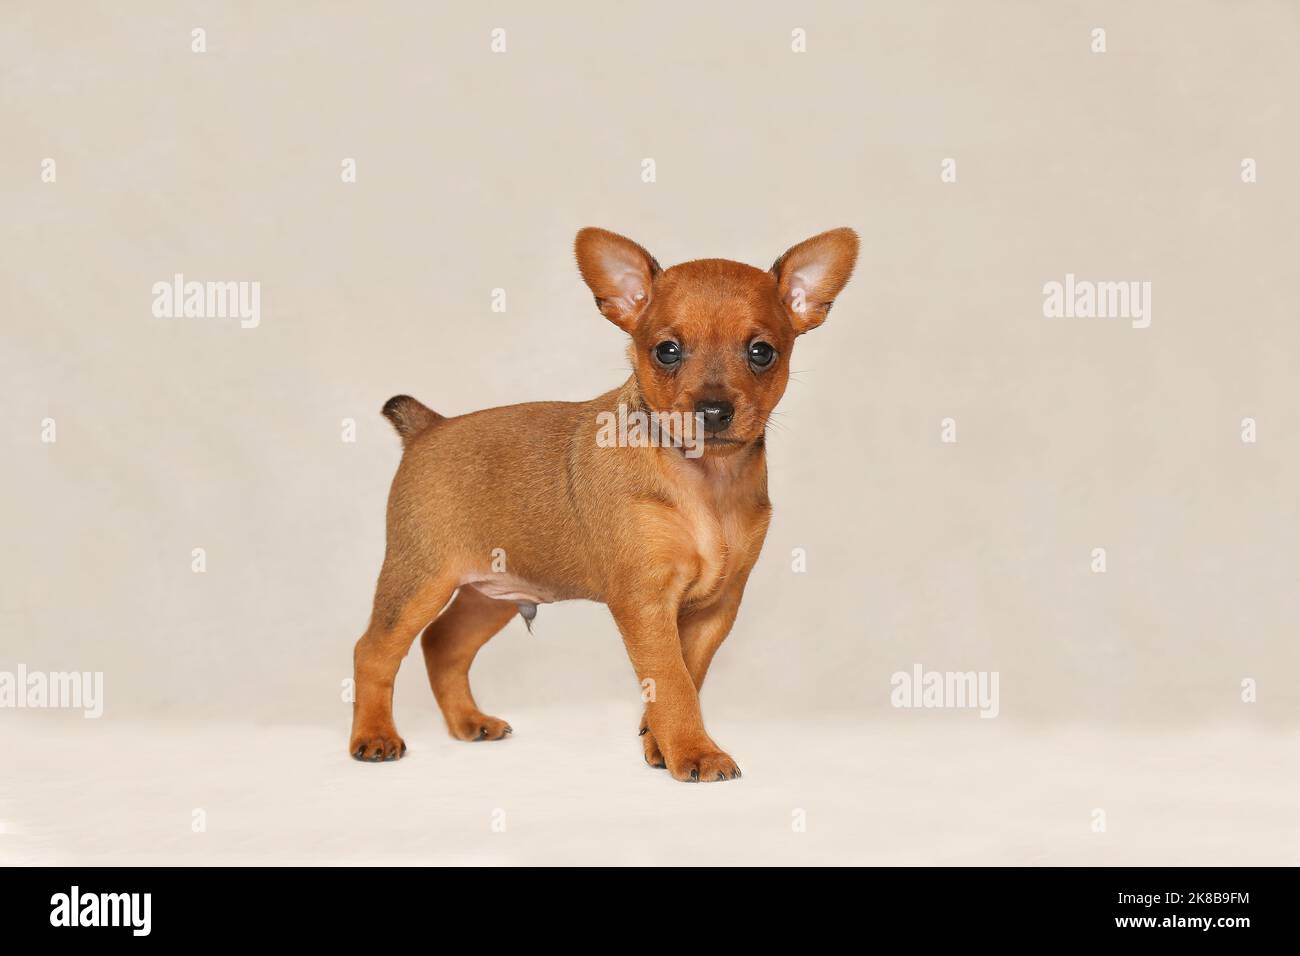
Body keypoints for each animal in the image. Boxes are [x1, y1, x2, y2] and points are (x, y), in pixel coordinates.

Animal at [351, 227, 857, 780]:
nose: (713, 410)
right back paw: (374, 736)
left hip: (491, 593)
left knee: (443, 645)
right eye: (667, 351)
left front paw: (659, 744)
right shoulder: (646, 602)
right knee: (373, 651)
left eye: (762, 352)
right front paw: (695, 751)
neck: (706, 480)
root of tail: (428, 427)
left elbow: (687, 676)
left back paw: (469, 721)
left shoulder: (715, 608)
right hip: (418, 581)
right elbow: (672, 682)